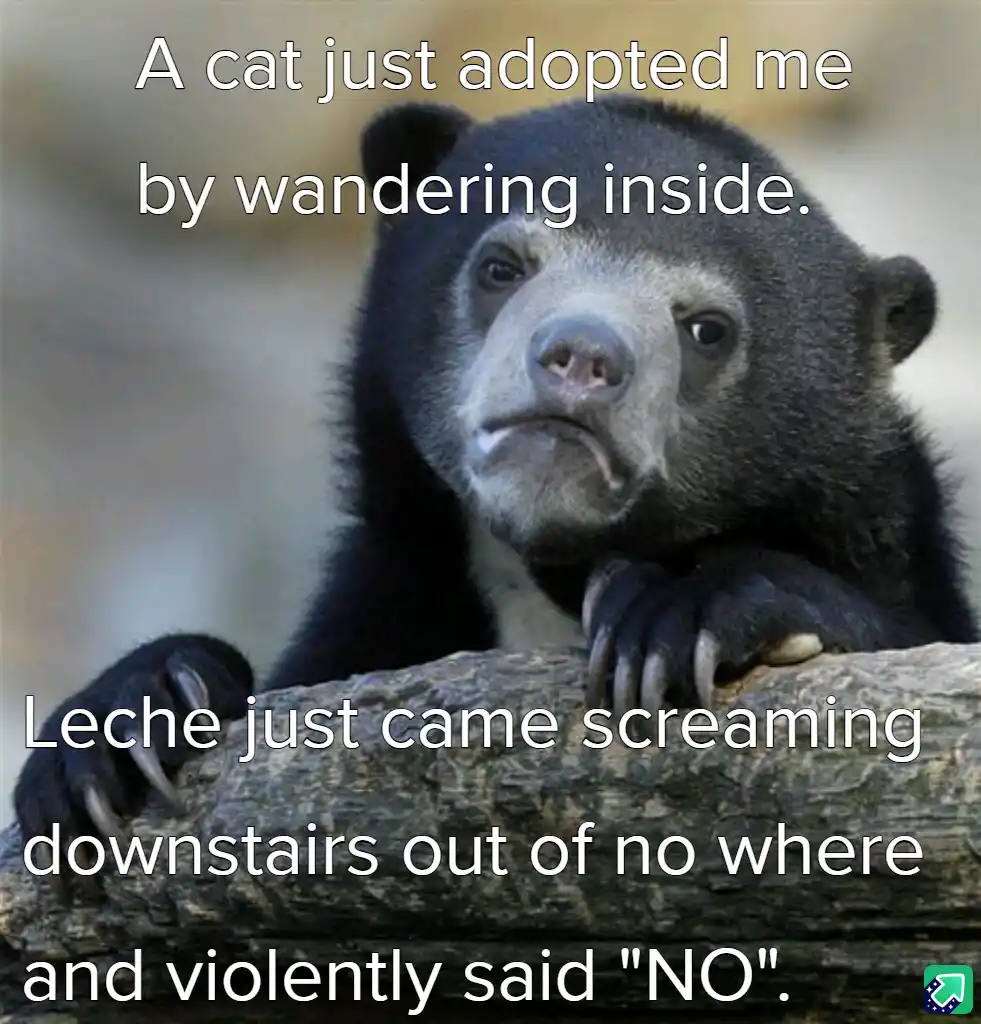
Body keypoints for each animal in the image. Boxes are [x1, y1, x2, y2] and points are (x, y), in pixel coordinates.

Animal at [14, 97, 978, 887]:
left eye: (706, 329)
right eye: (501, 266)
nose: (581, 359)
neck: (545, 573)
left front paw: (672, 614)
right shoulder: (399, 589)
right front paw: (117, 736)